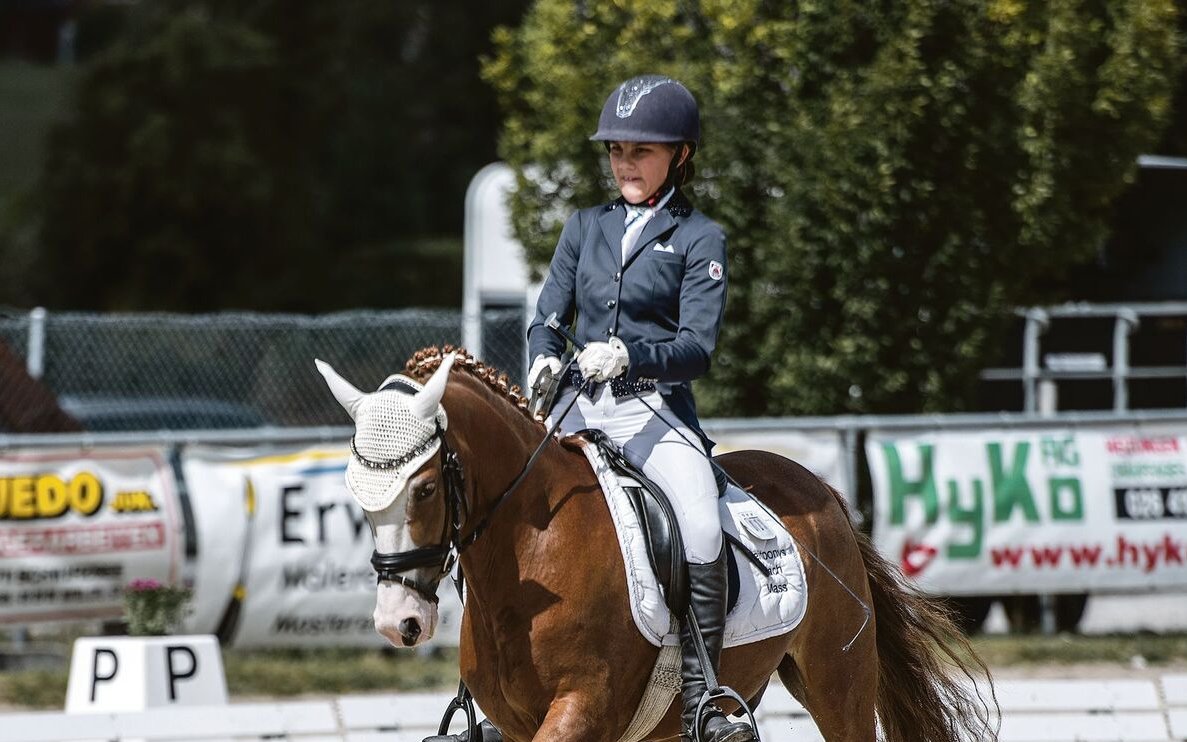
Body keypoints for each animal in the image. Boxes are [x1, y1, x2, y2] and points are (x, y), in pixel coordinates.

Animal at [315, 346, 992, 740]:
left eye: (426, 488)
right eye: (356, 493)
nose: (398, 622)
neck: (532, 548)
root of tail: (822, 490)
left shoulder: (581, 710)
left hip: (837, 680)